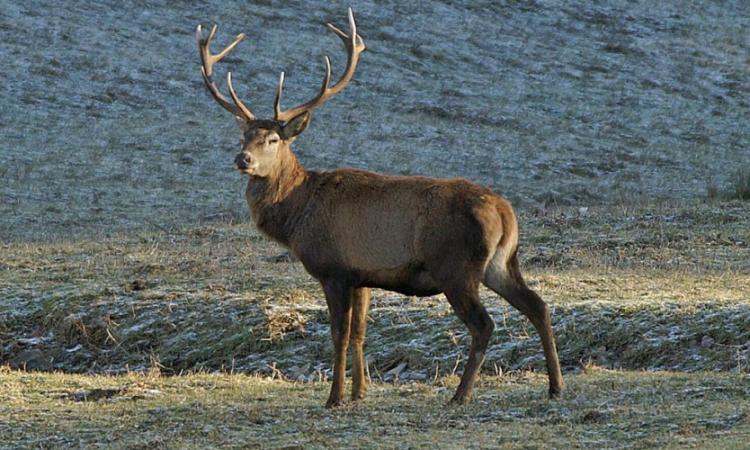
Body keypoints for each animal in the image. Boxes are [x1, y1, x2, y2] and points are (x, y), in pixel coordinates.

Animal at [195, 8, 563, 408]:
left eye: (273, 139)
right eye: (244, 136)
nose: (242, 159)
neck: (296, 216)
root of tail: (505, 211)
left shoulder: (334, 269)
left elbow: (339, 334)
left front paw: (335, 398)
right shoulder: (362, 276)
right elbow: (359, 332)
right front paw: (360, 392)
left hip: (455, 266)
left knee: (484, 324)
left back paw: (461, 395)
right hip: (500, 263)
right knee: (538, 305)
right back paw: (555, 386)